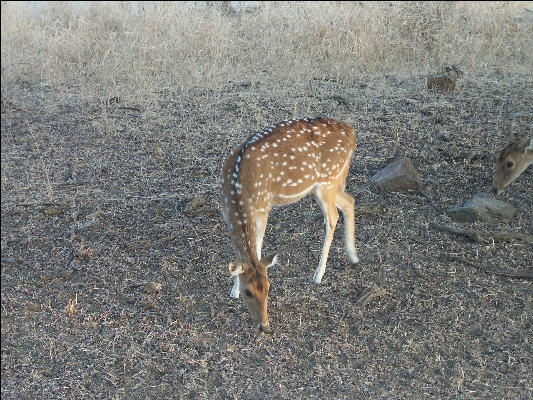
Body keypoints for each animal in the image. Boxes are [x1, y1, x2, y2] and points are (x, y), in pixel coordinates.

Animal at [218, 117, 360, 332]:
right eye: (248, 292)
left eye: (269, 288)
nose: (264, 326)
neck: (237, 187)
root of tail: (351, 132)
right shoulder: (225, 210)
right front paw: (233, 290)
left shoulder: (263, 206)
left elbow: (257, 246)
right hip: (330, 183)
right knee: (349, 201)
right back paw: (353, 256)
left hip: (327, 181)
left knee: (333, 217)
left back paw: (318, 275)